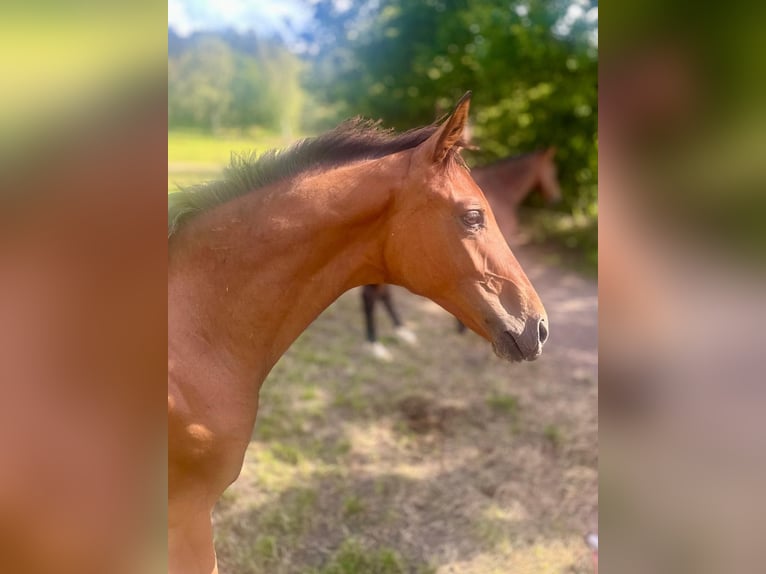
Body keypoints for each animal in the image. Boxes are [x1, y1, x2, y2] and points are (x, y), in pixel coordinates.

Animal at [364, 148, 560, 356]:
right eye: (554, 171)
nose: (557, 199)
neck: (501, 192)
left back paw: (401, 331)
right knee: (372, 294)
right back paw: (373, 344)